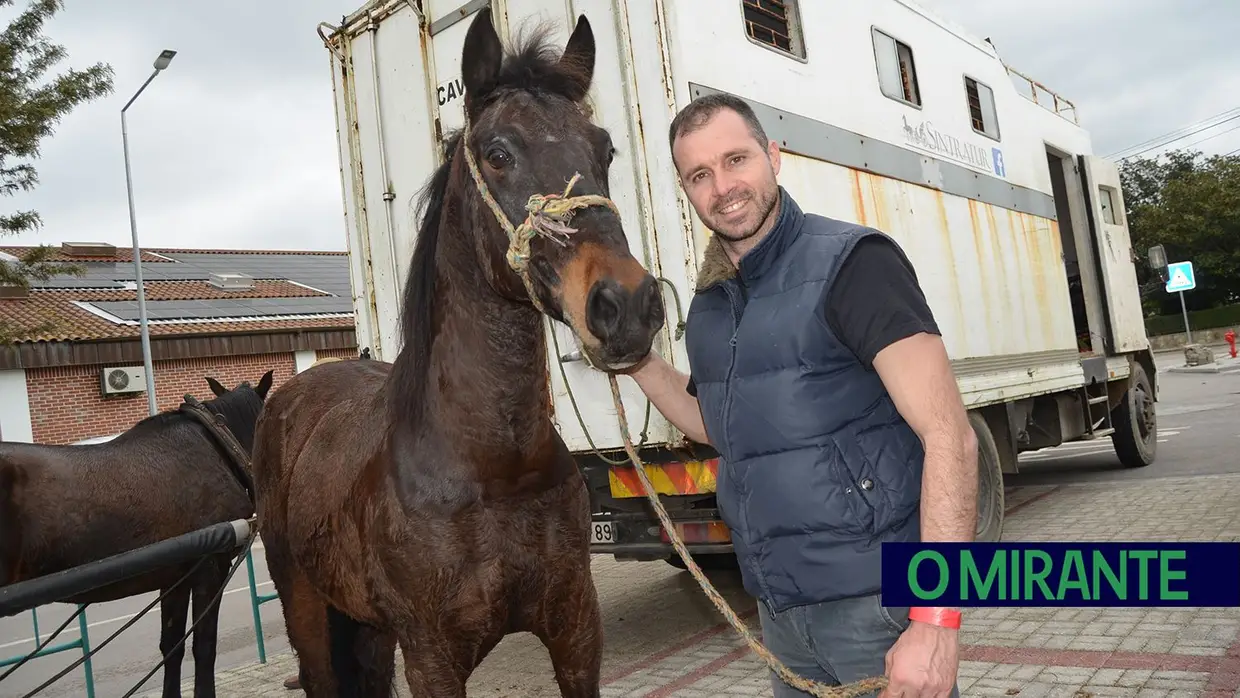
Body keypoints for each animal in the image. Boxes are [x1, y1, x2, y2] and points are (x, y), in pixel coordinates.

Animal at [251, 9, 669, 698]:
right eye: (498, 154)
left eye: (605, 149)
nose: (628, 305)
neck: (494, 468)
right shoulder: (433, 658)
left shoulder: (577, 632)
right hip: (307, 611)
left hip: (369, 628)